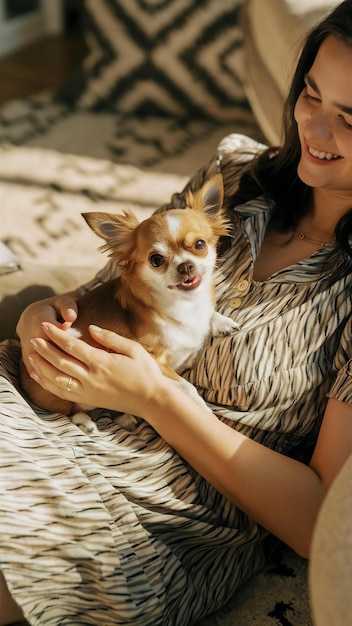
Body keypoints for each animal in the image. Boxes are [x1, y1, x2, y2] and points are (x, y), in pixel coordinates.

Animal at [19, 173, 236, 432]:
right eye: (156, 260)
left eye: (200, 245)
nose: (185, 266)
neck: (184, 304)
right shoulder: (154, 361)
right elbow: (186, 386)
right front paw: (202, 408)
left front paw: (221, 321)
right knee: (72, 409)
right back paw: (87, 422)